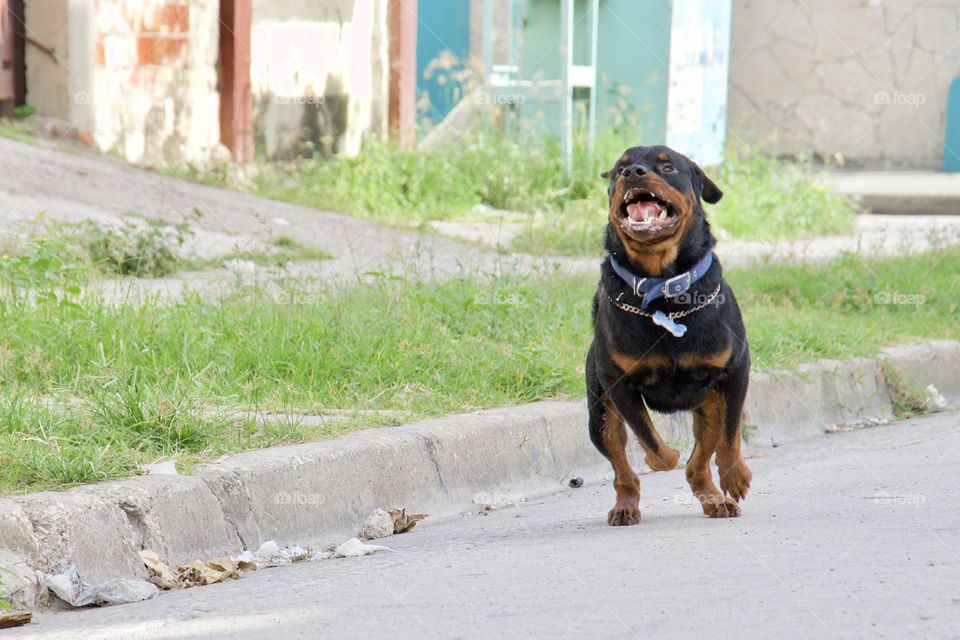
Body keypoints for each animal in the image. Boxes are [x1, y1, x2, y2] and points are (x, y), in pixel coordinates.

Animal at [580, 144, 752, 524]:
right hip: (599, 415)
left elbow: (731, 433)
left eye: (668, 167)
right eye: (619, 169)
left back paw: (715, 497)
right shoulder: (618, 383)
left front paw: (735, 474)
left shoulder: (736, 369)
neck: (663, 289)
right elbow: (651, 441)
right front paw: (660, 457)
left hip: (709, 404)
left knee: (702, 456)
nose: (633, 173)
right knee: (622, 468)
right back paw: (626, 505)